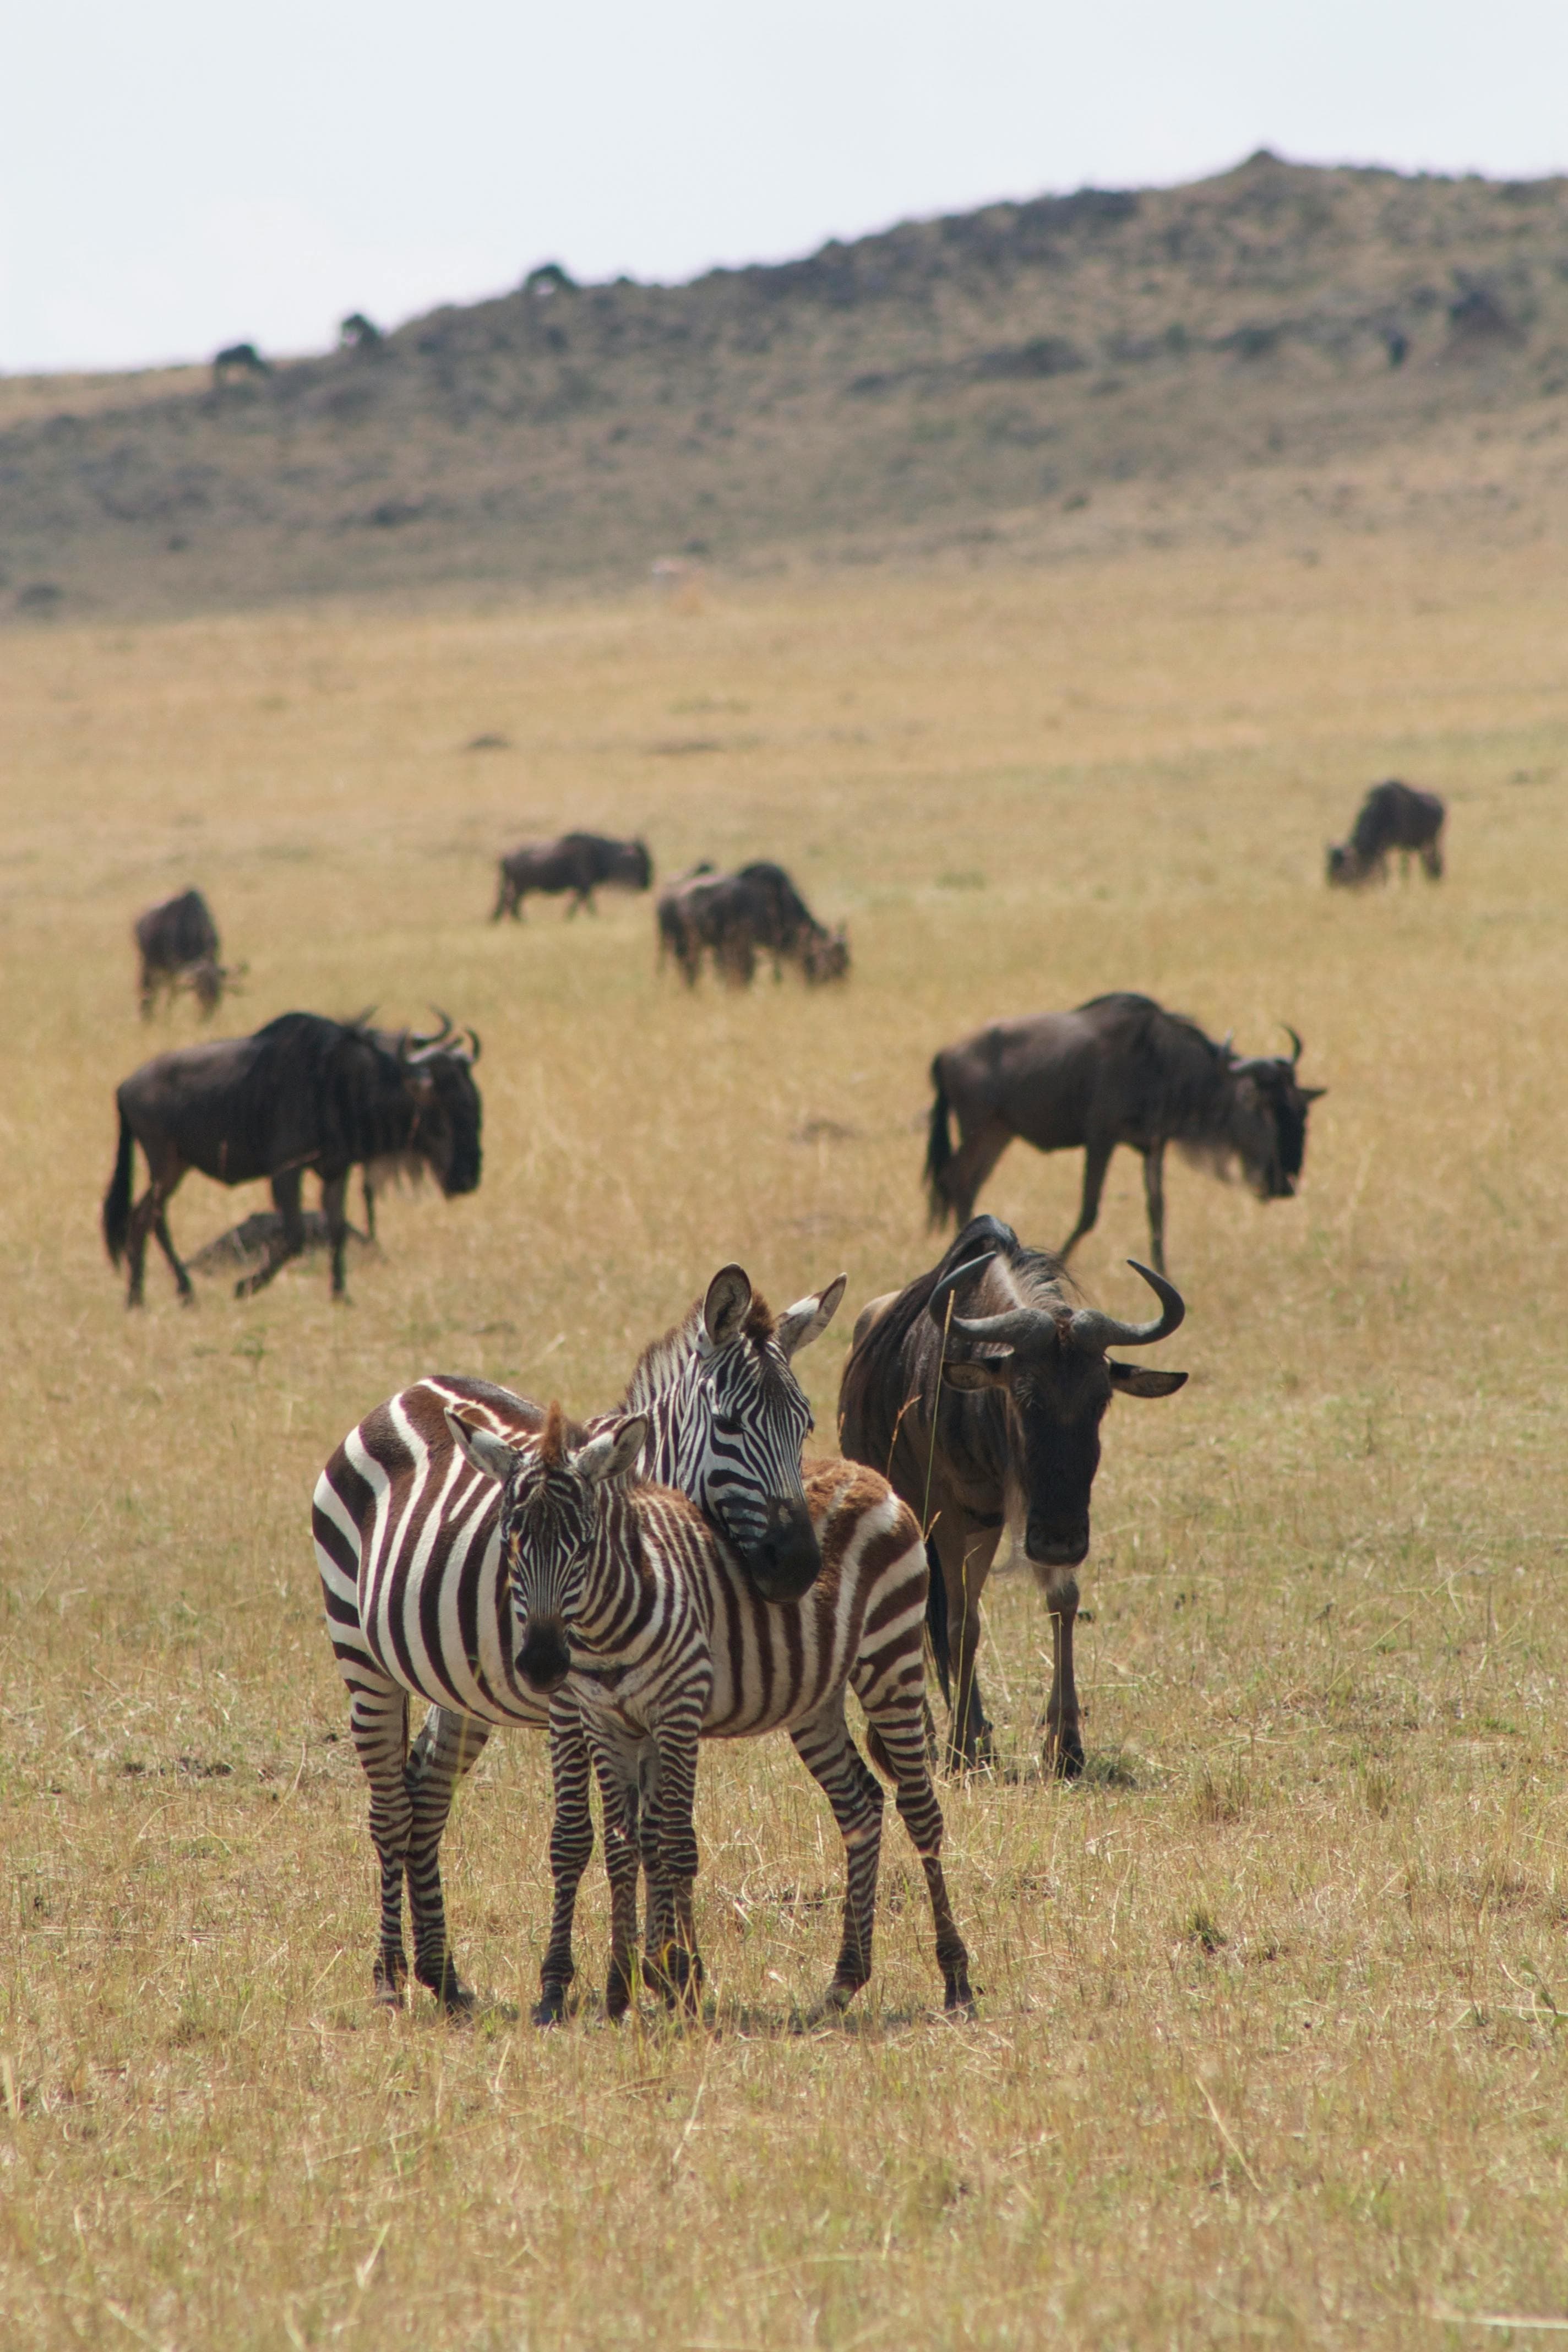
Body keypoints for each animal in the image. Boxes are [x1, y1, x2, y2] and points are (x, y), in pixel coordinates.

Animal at [311, 1264, 846, 2011]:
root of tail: (408, 1391)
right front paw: (563, 1983)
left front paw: (666, 1971)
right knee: (389, 1806)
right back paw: (390, 1978)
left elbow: (652, 1833)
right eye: (730, 1424)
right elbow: (577, 1836)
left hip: (461, 1687)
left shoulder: (658, 1693)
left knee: (425, 1794)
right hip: (363, 1656)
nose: (797, 1564)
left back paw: (443, 1975)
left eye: (807, 1425)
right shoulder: (573, 1703)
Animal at [447, 1400, 974, 2021]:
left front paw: (681, 1982)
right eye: (511, 1542)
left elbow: (675, 1843)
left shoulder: (678, 1711)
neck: (603, 1630)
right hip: (815, 1699)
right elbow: (622, 1847)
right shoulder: (607, 1724)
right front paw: (620, 1990)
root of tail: (871, 1476)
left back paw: (956, 1979)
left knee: (920, 1810)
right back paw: (844, 1981)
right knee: (861, 1805)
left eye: (584, 1545)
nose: (542, 1663)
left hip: (892, 1659)